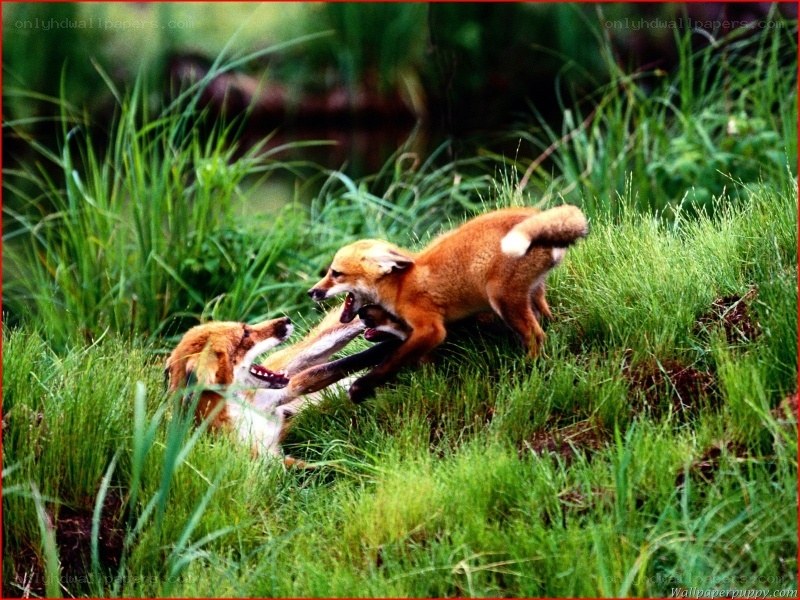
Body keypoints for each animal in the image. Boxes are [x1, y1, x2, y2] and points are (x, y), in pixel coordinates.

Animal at [165, 304, 406, 465]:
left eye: (245, 326)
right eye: (245, 334)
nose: (286, 320)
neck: (243, 411)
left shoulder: (275, 396)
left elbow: (337, 365)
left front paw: (383, 350)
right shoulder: (267, 462)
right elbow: (328, 467)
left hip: (301, 357)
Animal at [308, 204, 588, 402]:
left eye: (335, 273)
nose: (312, 292)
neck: (398, 286)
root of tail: (533, 214)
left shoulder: (430, 329)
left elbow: (393, 361)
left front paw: (360, 389)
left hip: (501, 299)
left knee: (536, 337)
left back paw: (528, 369)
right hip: (533, 295)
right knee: (546, 321)